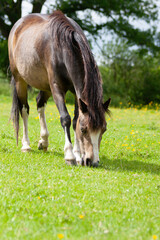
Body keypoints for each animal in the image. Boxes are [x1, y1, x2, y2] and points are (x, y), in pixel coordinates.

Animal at [8, 9, 110, 167]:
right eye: (84, 129)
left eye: (103, 130)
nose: (92, 162)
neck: (64, 47)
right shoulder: (57, 88)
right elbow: (66, 118)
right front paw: (69, 155)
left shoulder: (76, 92)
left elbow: (75, 120)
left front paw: (78, 154)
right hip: (21, 81)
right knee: (24, 110)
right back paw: (26, 145)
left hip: (45, 86)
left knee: (39, 103)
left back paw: (44, 141)